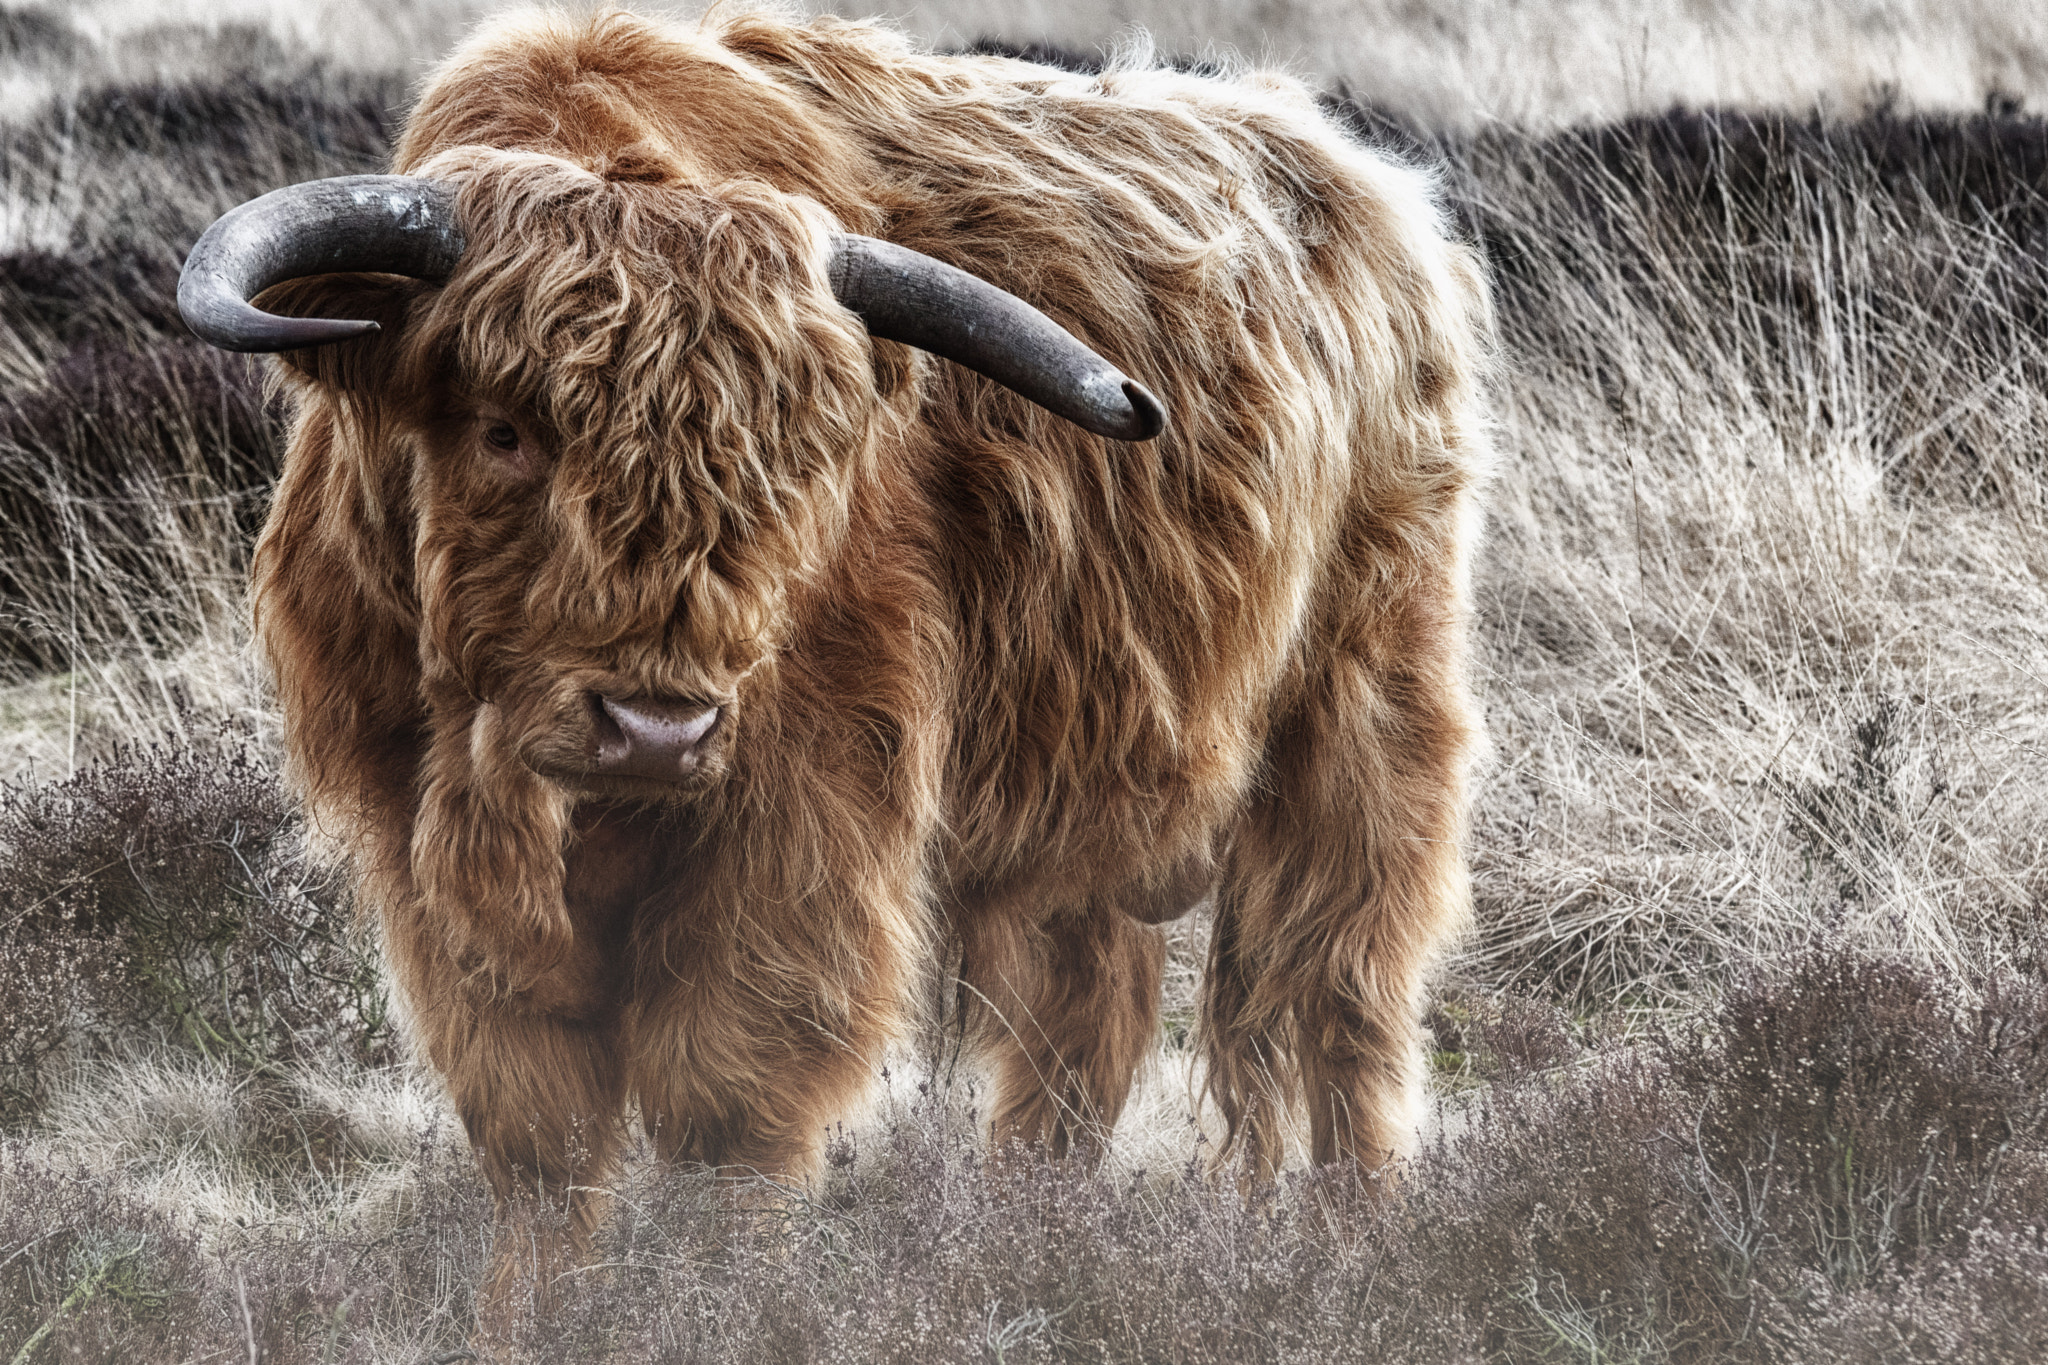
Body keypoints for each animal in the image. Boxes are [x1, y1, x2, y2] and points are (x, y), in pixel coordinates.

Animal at [176, 5, 1490, 1268]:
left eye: (791, 462)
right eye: (503, 431)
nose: (656, 727)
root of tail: (1360, 179)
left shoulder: (802, 817)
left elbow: (728, 1102)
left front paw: (721, 1299)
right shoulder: (420, 844)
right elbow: (538, 1134)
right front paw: (538, 1307)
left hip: (1368, 696)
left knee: (1344, 986)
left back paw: (1352, 1238)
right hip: (1091, 776)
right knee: (1087, 1012)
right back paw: (1035, 1227)